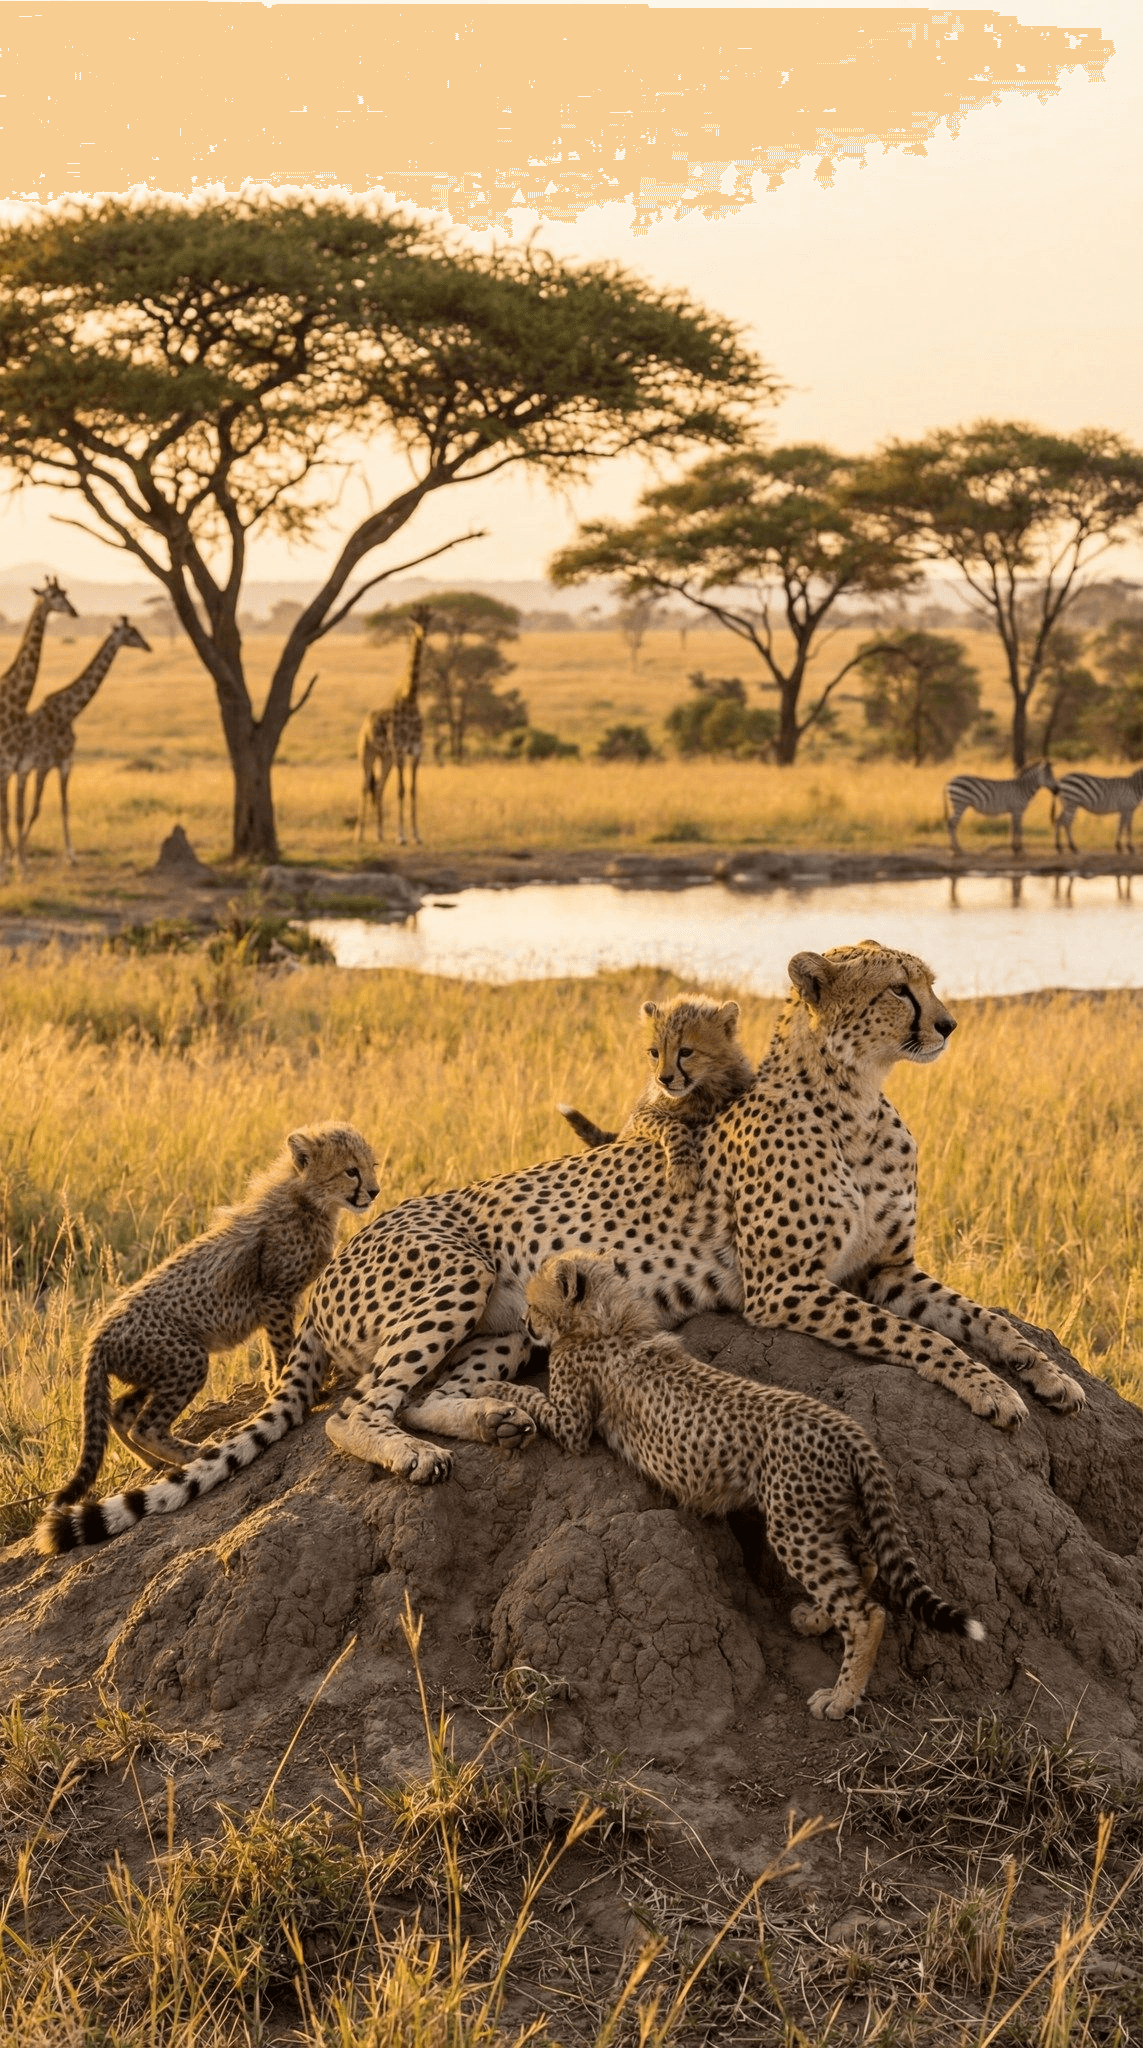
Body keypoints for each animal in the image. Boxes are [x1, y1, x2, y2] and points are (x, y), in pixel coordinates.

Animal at [41, 1124, 379, 1519]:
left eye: (371, 1166)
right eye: (350, 1171)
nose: (374, 1191)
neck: (306, 1199)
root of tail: (97, 1334)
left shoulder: (269, 1304)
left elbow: (271, 1350)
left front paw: (272, 1381)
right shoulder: (275, 1297)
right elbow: (283, 1347)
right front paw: (294, 1384)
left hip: (154, 1368)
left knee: (120, 1411)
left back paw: (157, 1464)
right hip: (187, 1358)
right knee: (144, 1425)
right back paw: (194, 1452)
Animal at [515, 1251, 985, 1719]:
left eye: (534, 1303)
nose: (524, 1322)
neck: (608, 1316)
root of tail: (847, 1427)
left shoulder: (574, 1425)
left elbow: (533, 1399)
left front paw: (506, 1398)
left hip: (794, 1525)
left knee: (865, 1612)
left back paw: (841, 1696)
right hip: (825, 1512)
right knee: (864, 1564)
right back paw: (815, 1619)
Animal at [557, 992, 754, 1197]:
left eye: (685, 1052)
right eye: (654, 1053)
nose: (664, 1079)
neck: (704, 1089)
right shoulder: (641, 1116)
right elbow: (673, 1126)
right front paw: (683, 1172)